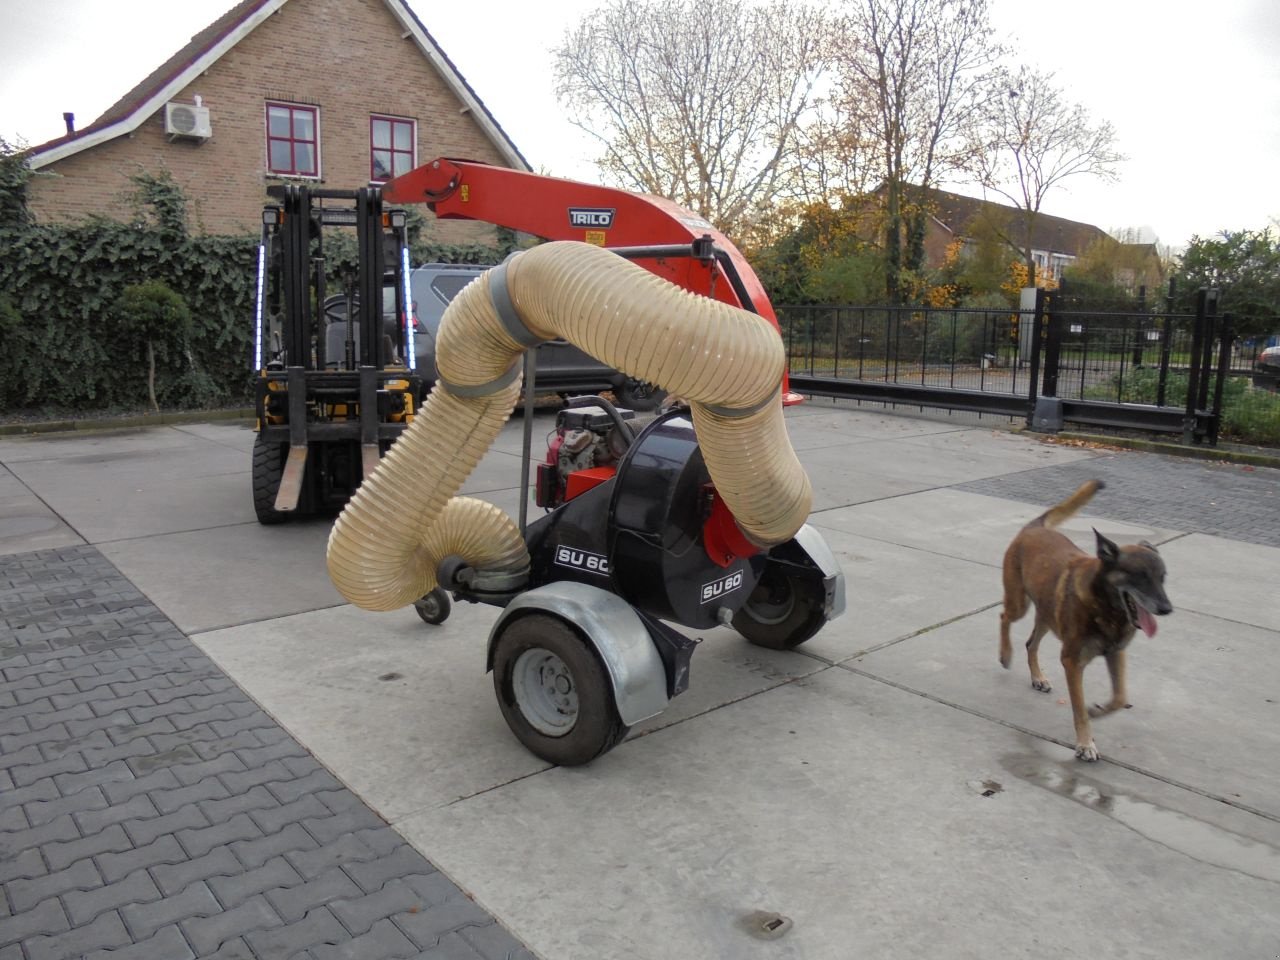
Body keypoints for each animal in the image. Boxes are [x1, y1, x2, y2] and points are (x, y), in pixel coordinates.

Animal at [998, 483, 1172, 762]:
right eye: (1140, 577)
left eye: (1162, 578)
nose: (1167, 609)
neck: (1107, 607)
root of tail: (1034, 528)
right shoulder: (1072, 661)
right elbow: (1078, 709)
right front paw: (1085, 743)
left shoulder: (1115, 653)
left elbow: (1119, 697)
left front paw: (1098, 709)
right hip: (1019, 603)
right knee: (1004, 617)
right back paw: (1005, 654)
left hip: (1047, 615)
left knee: (1030, 643)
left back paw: (1038, 677)